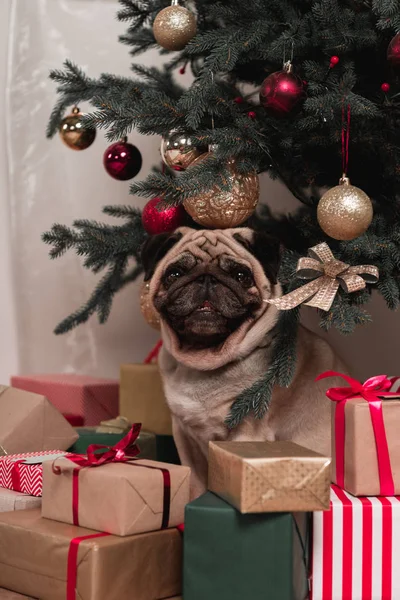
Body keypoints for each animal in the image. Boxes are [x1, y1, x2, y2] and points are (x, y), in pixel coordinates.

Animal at [142, 225, 346, 496]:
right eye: (175, 273)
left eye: (240, 275)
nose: (206, 278)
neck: (205, 361)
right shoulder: (185, 438)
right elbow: (193, 483)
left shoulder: (246, 435)